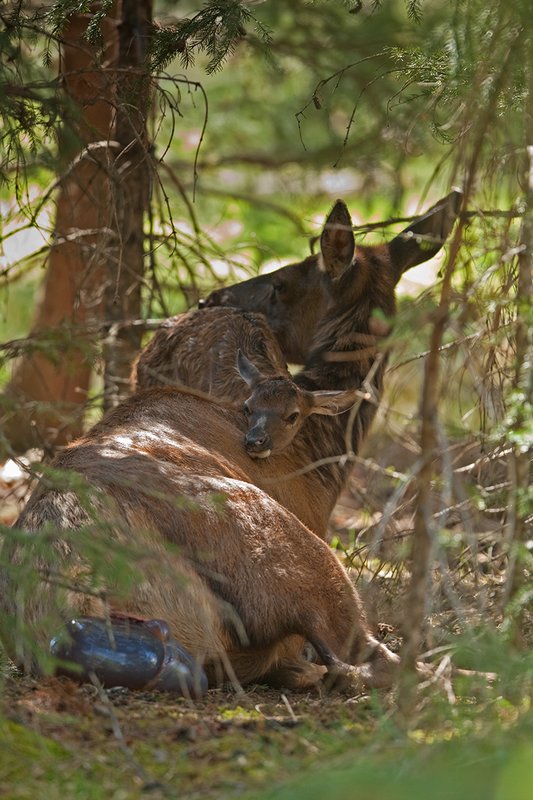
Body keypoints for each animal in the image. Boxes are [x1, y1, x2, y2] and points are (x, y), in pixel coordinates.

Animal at [0, 191, 461, 697]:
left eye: (281, 283)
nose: (211, 297)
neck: (321, 458)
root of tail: (68, 608)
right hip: (283, 546)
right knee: (368, 656)